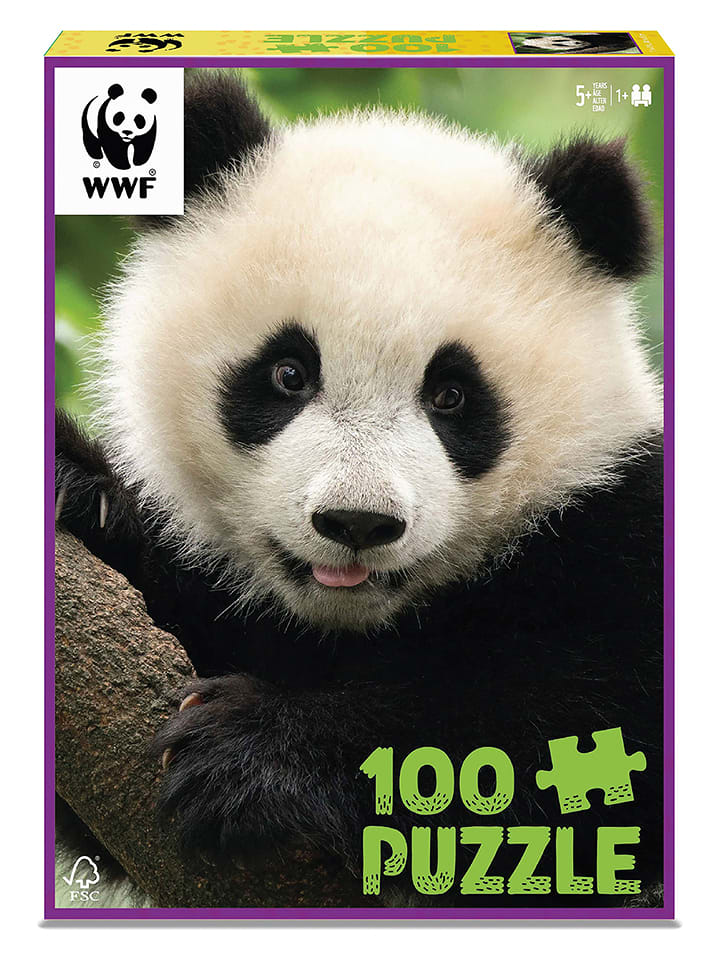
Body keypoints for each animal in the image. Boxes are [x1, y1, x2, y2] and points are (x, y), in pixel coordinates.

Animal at [56, 70, 664, 907]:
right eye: (288, 372)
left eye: (452, 396)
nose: (357, 523)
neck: (352, 624)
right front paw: (83, 492)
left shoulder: (621, 530)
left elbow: (566, 731)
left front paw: (254, 756)